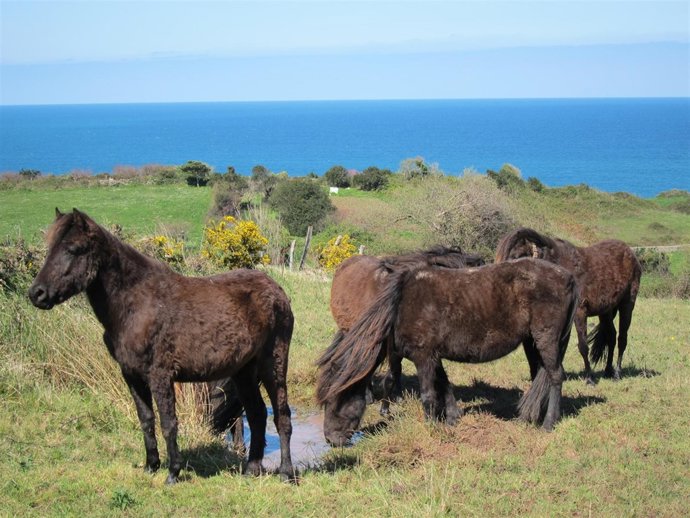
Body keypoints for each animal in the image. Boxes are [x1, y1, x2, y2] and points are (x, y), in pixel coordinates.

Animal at [28, 208, 295, 483]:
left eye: (73, 249)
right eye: (50, 247)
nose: (36, 294)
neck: (136, 304)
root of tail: (278, 291)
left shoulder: (160, 375)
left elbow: (168, 422)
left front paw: (173, 473)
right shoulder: (132, 375)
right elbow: (147, 420)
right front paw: (151, 465)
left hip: (273, 364)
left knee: (282, 416)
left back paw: (286, 473)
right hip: (244, 371)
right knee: (257, 414)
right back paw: (251, 470)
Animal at [495, 228, 641, 384]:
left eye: (516, 256)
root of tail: (630, 252)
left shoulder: (579, 313)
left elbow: (583, 346)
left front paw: (589, 378)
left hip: (627, 304)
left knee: (622, 339)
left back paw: (617, 373)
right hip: (606, 311)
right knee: (611, 336)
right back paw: (608, 371)